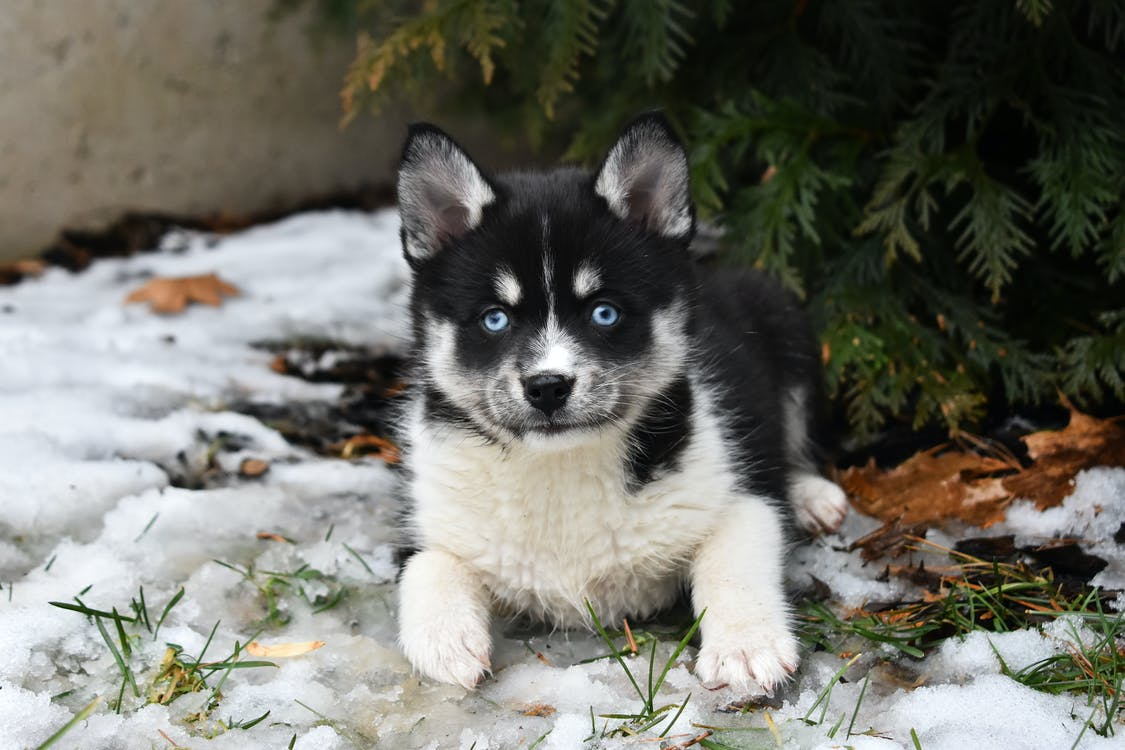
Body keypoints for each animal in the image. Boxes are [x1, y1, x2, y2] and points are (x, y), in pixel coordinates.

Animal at [393, 114, 846, 697]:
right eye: (495, 318)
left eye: (604, 312)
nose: (547, 386)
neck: (559, 467)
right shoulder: (427, 520)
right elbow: (427, 568)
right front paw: (445, 642)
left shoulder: (740, 494)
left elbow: (732, 564)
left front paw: (747, 648)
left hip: (788, 326)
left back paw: (811, 496)